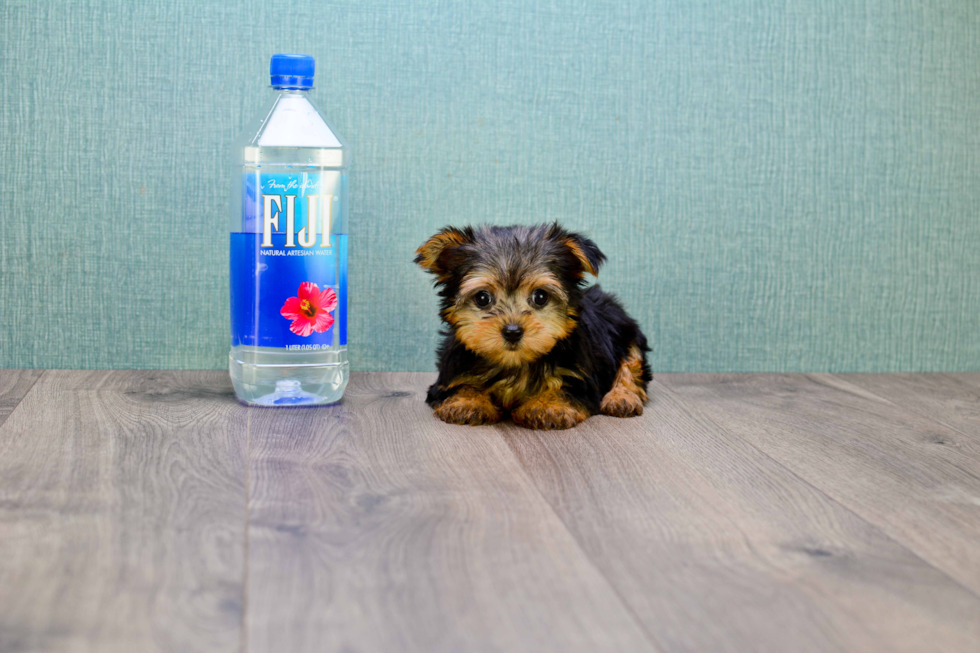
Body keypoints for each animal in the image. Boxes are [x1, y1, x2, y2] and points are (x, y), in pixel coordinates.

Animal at [414, 222, 652, 430]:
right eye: (482, 298)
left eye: (540, 297)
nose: (512, 332)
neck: (515, 364)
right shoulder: (450, 374)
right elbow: (462, 385)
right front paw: (467, 402)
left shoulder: (581, 378)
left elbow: (565, 389)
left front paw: (548, 407)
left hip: (628, 334)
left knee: (631, 366)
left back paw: (622, 398)